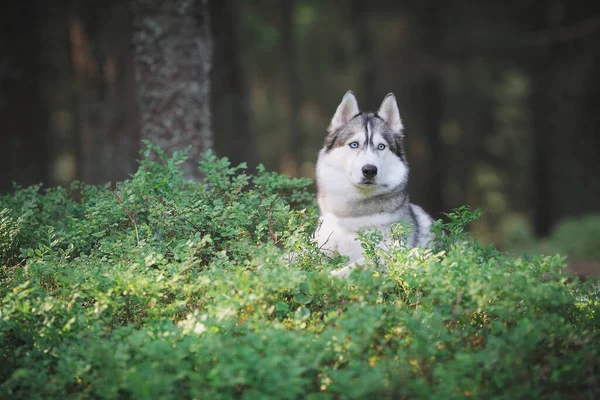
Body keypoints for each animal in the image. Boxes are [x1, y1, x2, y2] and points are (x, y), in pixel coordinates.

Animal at [314, 90, 432, 278]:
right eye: (354, 144)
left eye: (381, 146)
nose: (370, 170)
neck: (353, 215)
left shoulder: (392, 253)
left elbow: (358, 264)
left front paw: (325, 276)